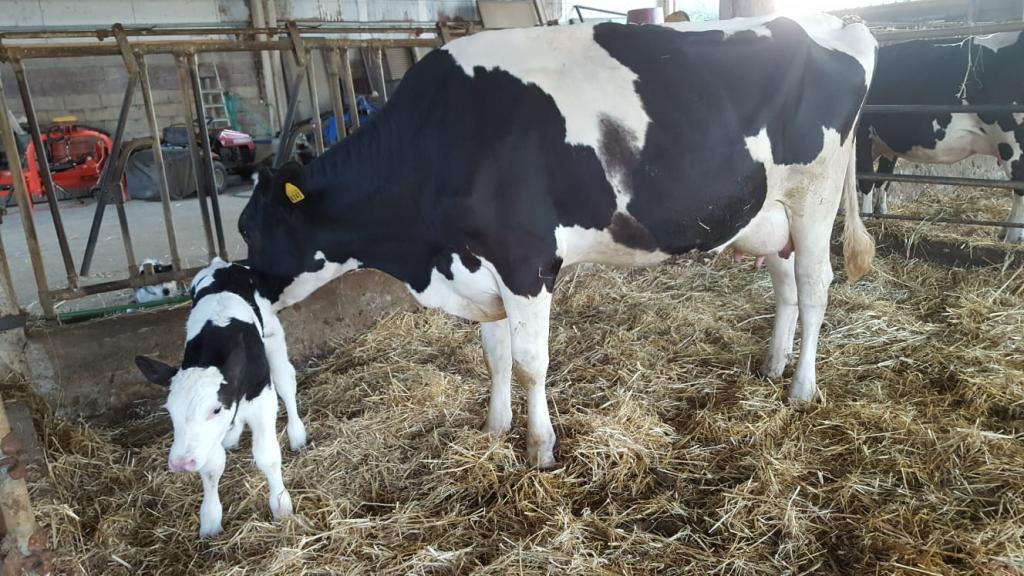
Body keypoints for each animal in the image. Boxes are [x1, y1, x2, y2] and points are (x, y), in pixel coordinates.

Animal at [134, 258, 306, 537]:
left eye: (215, 409)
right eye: (170, 412)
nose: (181, 463)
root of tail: (221, 264)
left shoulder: (262, 400)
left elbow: (267, 455)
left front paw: (281, 504)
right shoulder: (207, 438)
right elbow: (212, 466)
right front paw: (210, 520)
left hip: (273, 337)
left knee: (286, 380)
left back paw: (297, 434)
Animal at [238, 14, 877, 469]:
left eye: (248, 228)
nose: (246, 290)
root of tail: (839, 23)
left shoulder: (525, 261)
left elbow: (529, 363)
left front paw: (539, 447)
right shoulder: (480, 265)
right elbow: (494, 356)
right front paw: (495, 428)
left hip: (815, 197)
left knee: (815, 289)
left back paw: (801, 388)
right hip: (772, 215)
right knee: (786, 286)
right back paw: (772, 366)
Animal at [856, 32, 1024, 242]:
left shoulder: (862, 134)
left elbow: (866, 180)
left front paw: (865, 220)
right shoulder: (887, 144)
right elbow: (883, 179)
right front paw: (882, 216)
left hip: (1012, 142)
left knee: (1020, 188)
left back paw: (1012, 237)